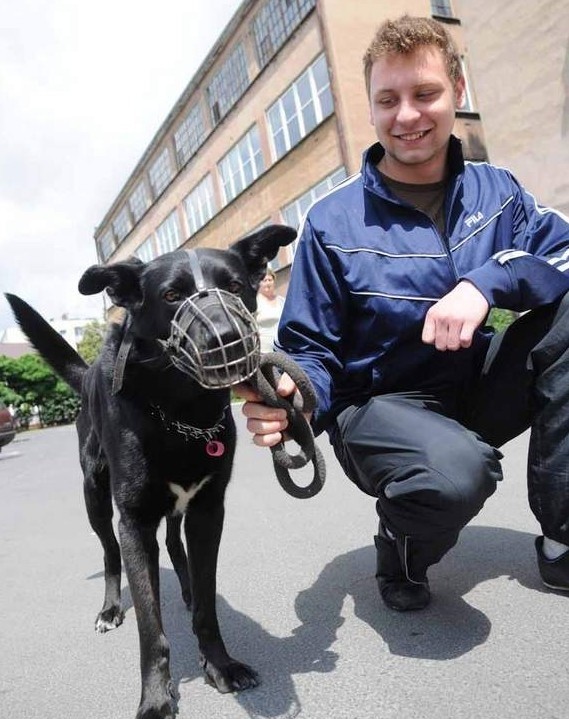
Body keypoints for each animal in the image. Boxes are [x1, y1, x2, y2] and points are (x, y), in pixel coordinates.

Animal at [6, 222, 296, 716]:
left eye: (235, 286)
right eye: (172, 296)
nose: (226, 336)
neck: (180, 410)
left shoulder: (208, 511)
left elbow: (207, 603)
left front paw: (220, 664)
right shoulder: (135, 523)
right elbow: (149, 626)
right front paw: (157, 698)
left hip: (179, 508)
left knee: (176, 546)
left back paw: (185, 588)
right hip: (95, 497)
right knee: (109, 553)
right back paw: (109, 609)